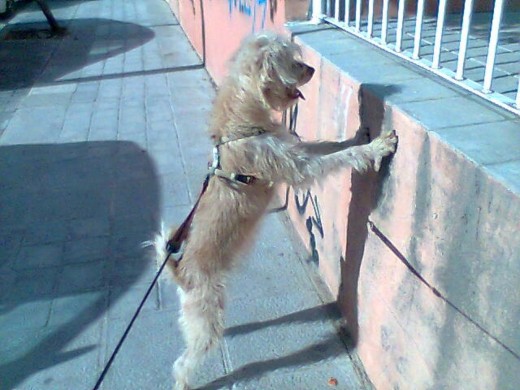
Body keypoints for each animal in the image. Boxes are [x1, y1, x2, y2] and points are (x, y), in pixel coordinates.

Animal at [154, 32, 398, 388]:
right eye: (291, 61)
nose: (311, 69)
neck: (241, 124)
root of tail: (180, 271)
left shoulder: (295, 150)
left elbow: (329, 146)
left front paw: (359, 136)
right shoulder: (298, 167)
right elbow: (335, 158)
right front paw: (376, 147)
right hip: (205, 318)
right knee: (183, 363)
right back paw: (184, 380)